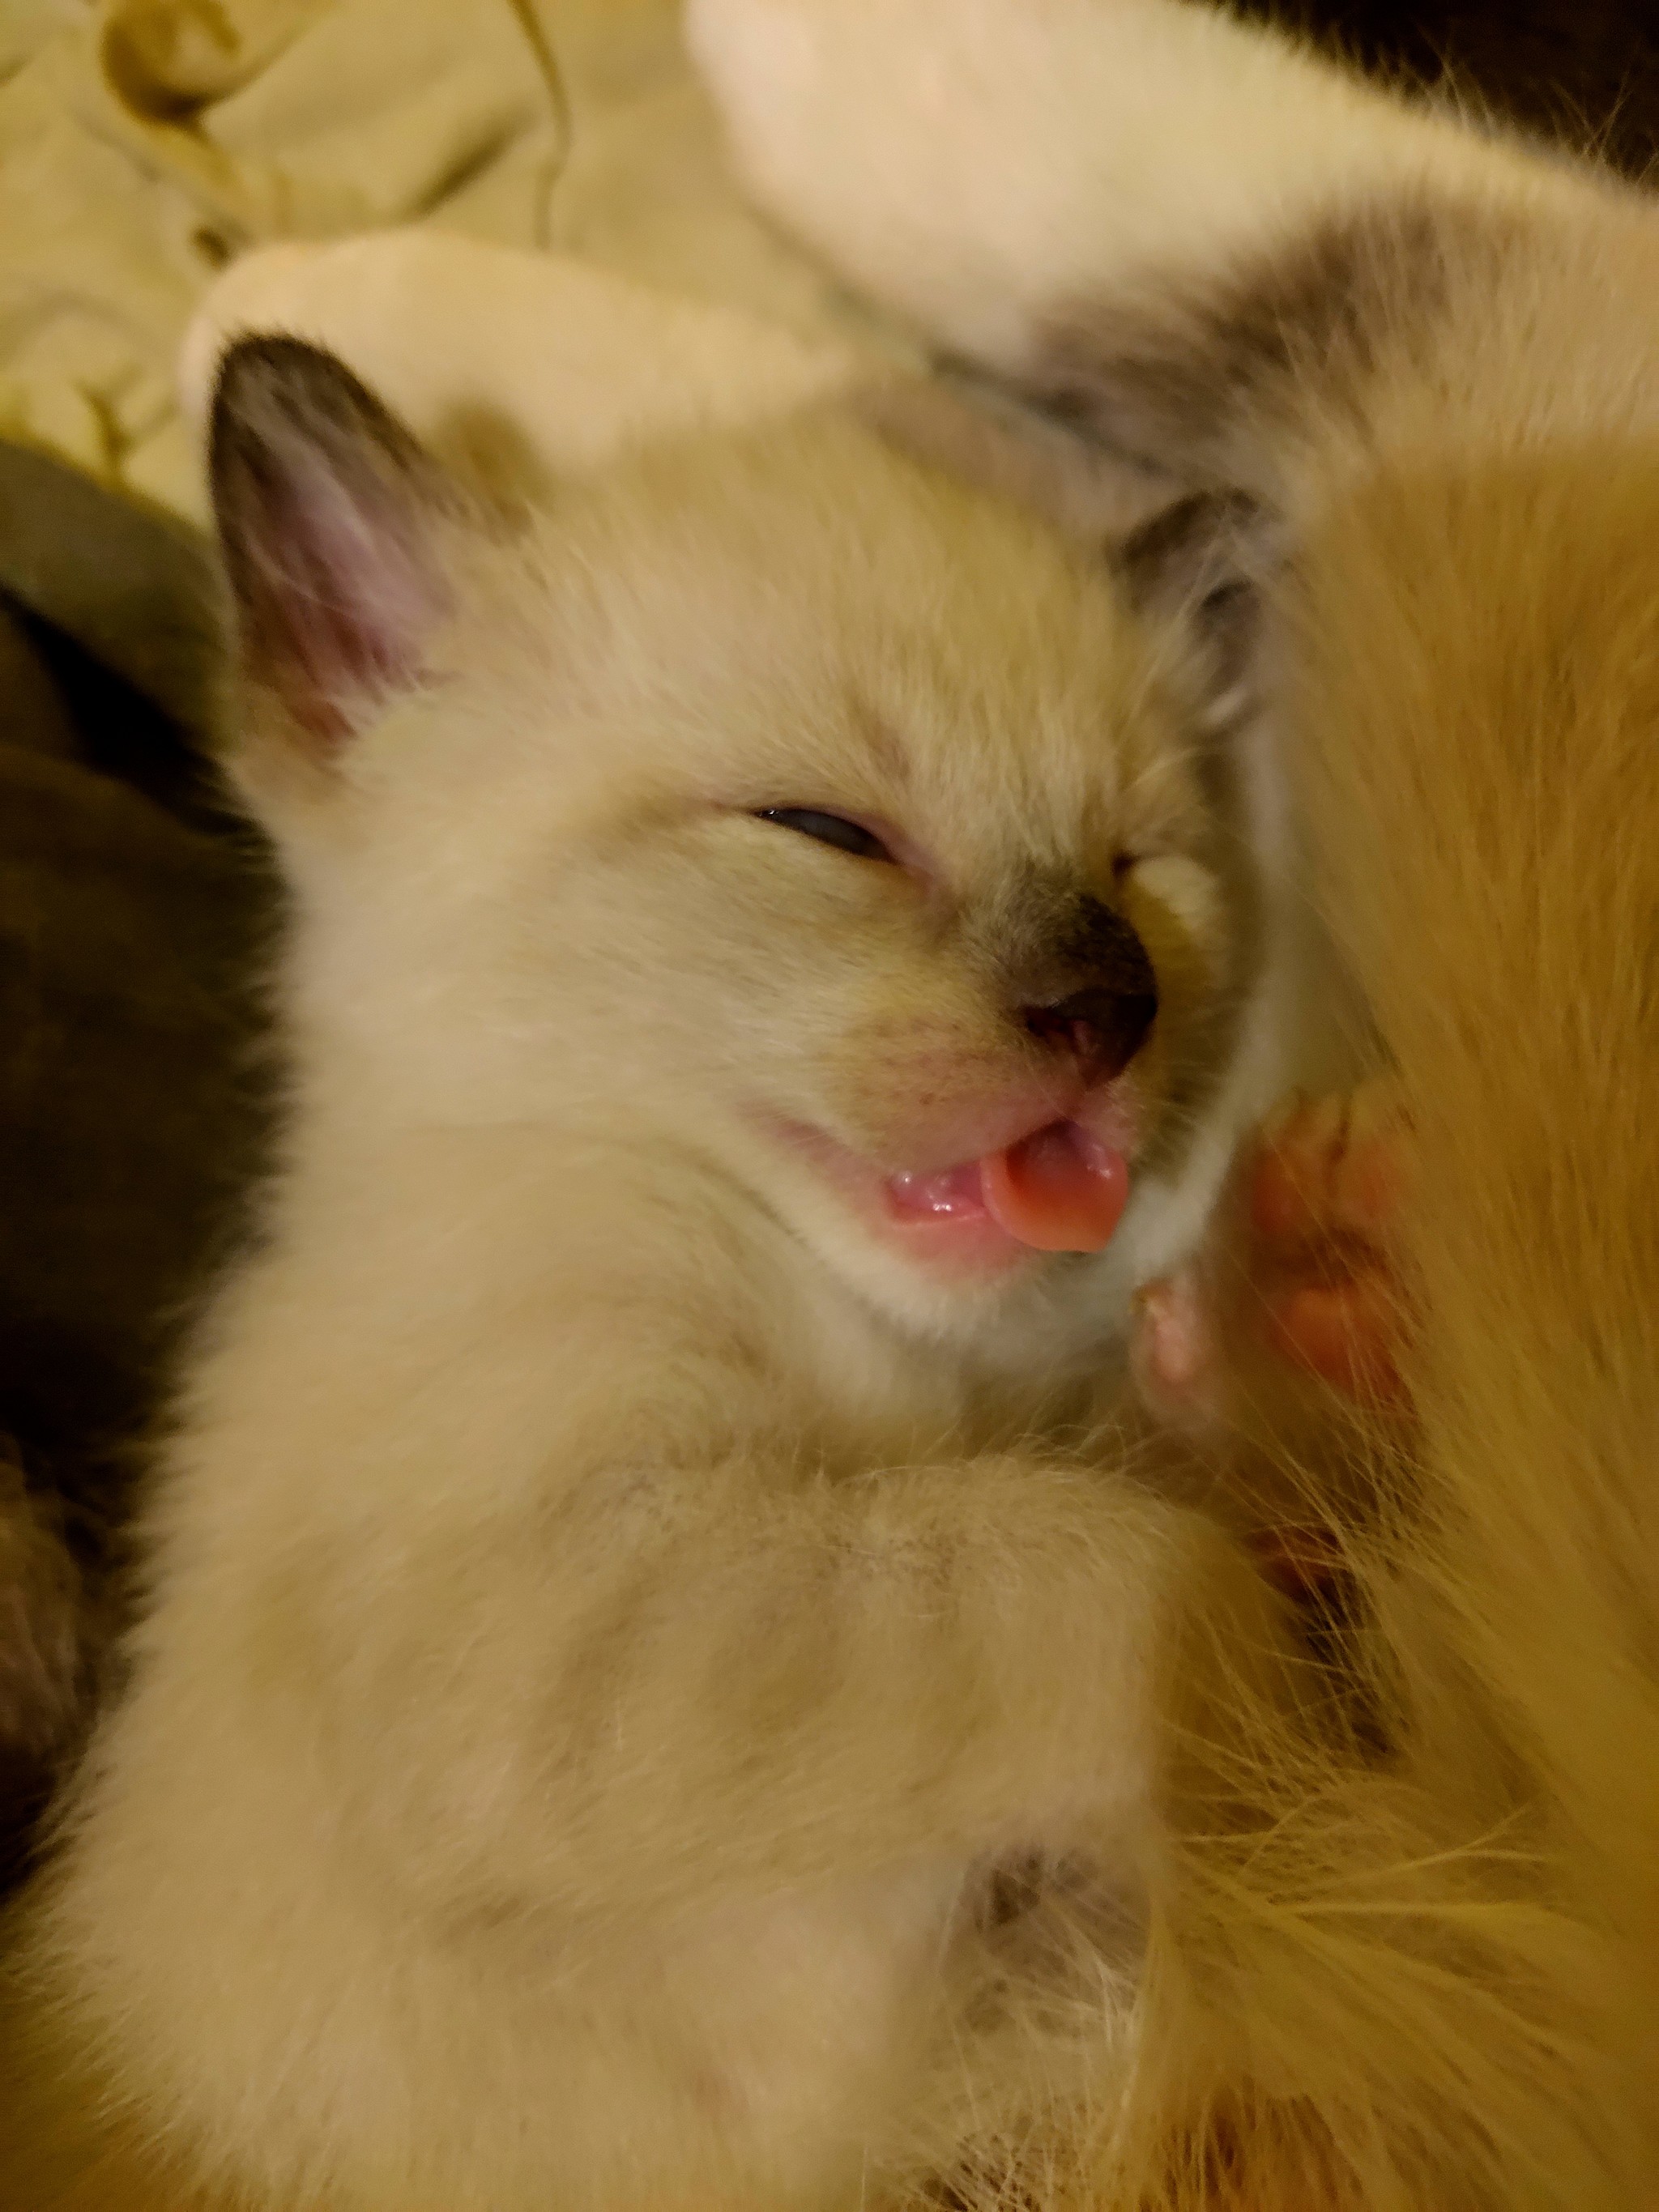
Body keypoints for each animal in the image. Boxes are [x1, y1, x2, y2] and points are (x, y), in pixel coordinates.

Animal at [0, 336, 1291, 2203]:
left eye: (1137, 866)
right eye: (826, 831)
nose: (1104, 1006)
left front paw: (1235, 1343)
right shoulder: (557, 1613)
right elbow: (1131, 1570)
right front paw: (1270, 1682)